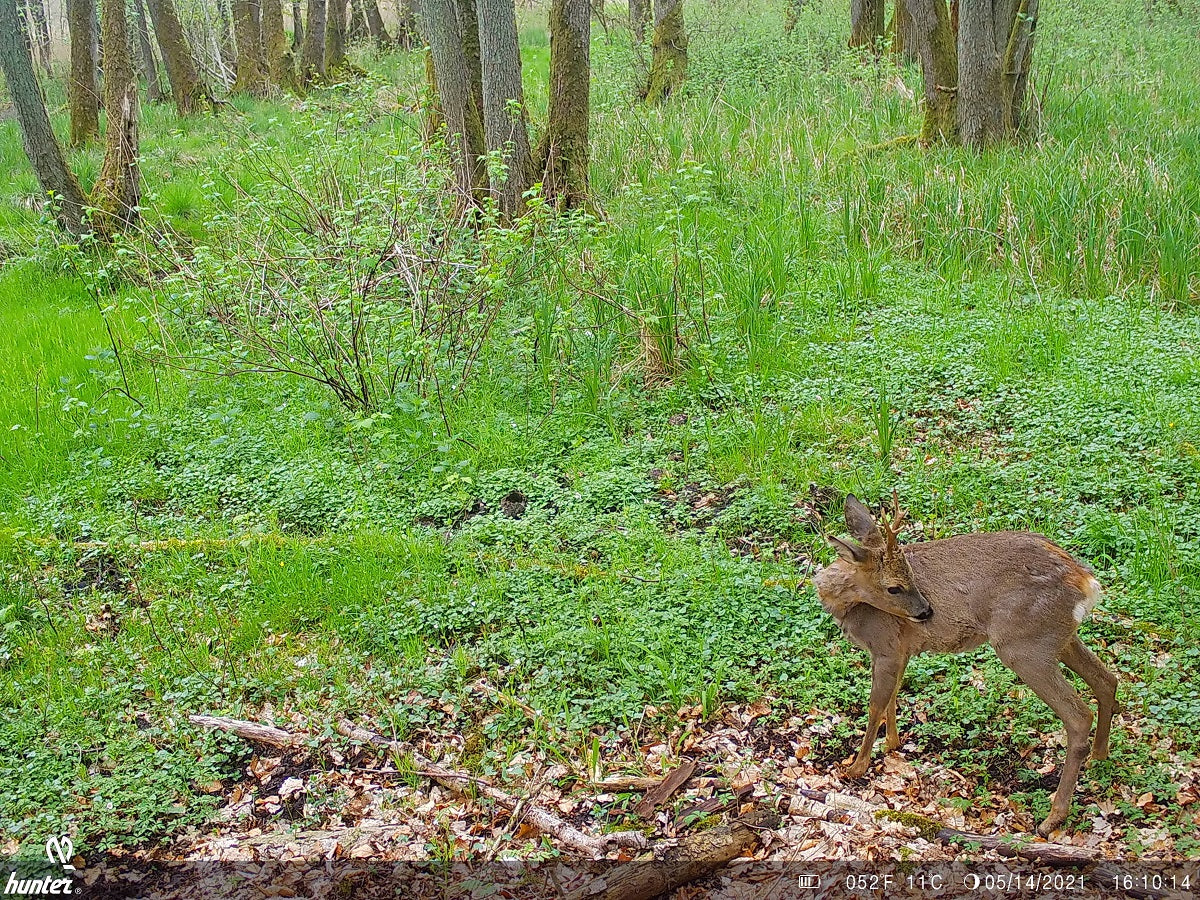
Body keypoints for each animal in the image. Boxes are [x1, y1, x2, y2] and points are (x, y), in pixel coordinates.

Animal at [816, 494, 1113, 840]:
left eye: (906, 580)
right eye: (895, 587)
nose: (926, 612)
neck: (849, 607)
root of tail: (1086, 581)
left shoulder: (887, 646)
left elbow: (876, 703)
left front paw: (855, 767)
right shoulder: (901, 651)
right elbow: (893, 697)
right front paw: (892, 744)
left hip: (1022, 645)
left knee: (1078, 715)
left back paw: (1052, 818)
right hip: (1059, 638)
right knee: (1107, 680)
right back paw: (1098, 759)